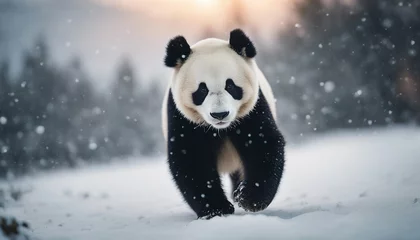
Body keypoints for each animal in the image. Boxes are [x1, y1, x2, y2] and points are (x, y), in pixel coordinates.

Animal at [162, 28, 286, 219]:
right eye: (202, 90)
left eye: (231, 86)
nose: (220, 114)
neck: (219, 129)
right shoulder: (181, 116)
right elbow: (191, 157)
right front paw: (216, 209)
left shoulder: (252, 109)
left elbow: (262, 143)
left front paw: (248, 198)